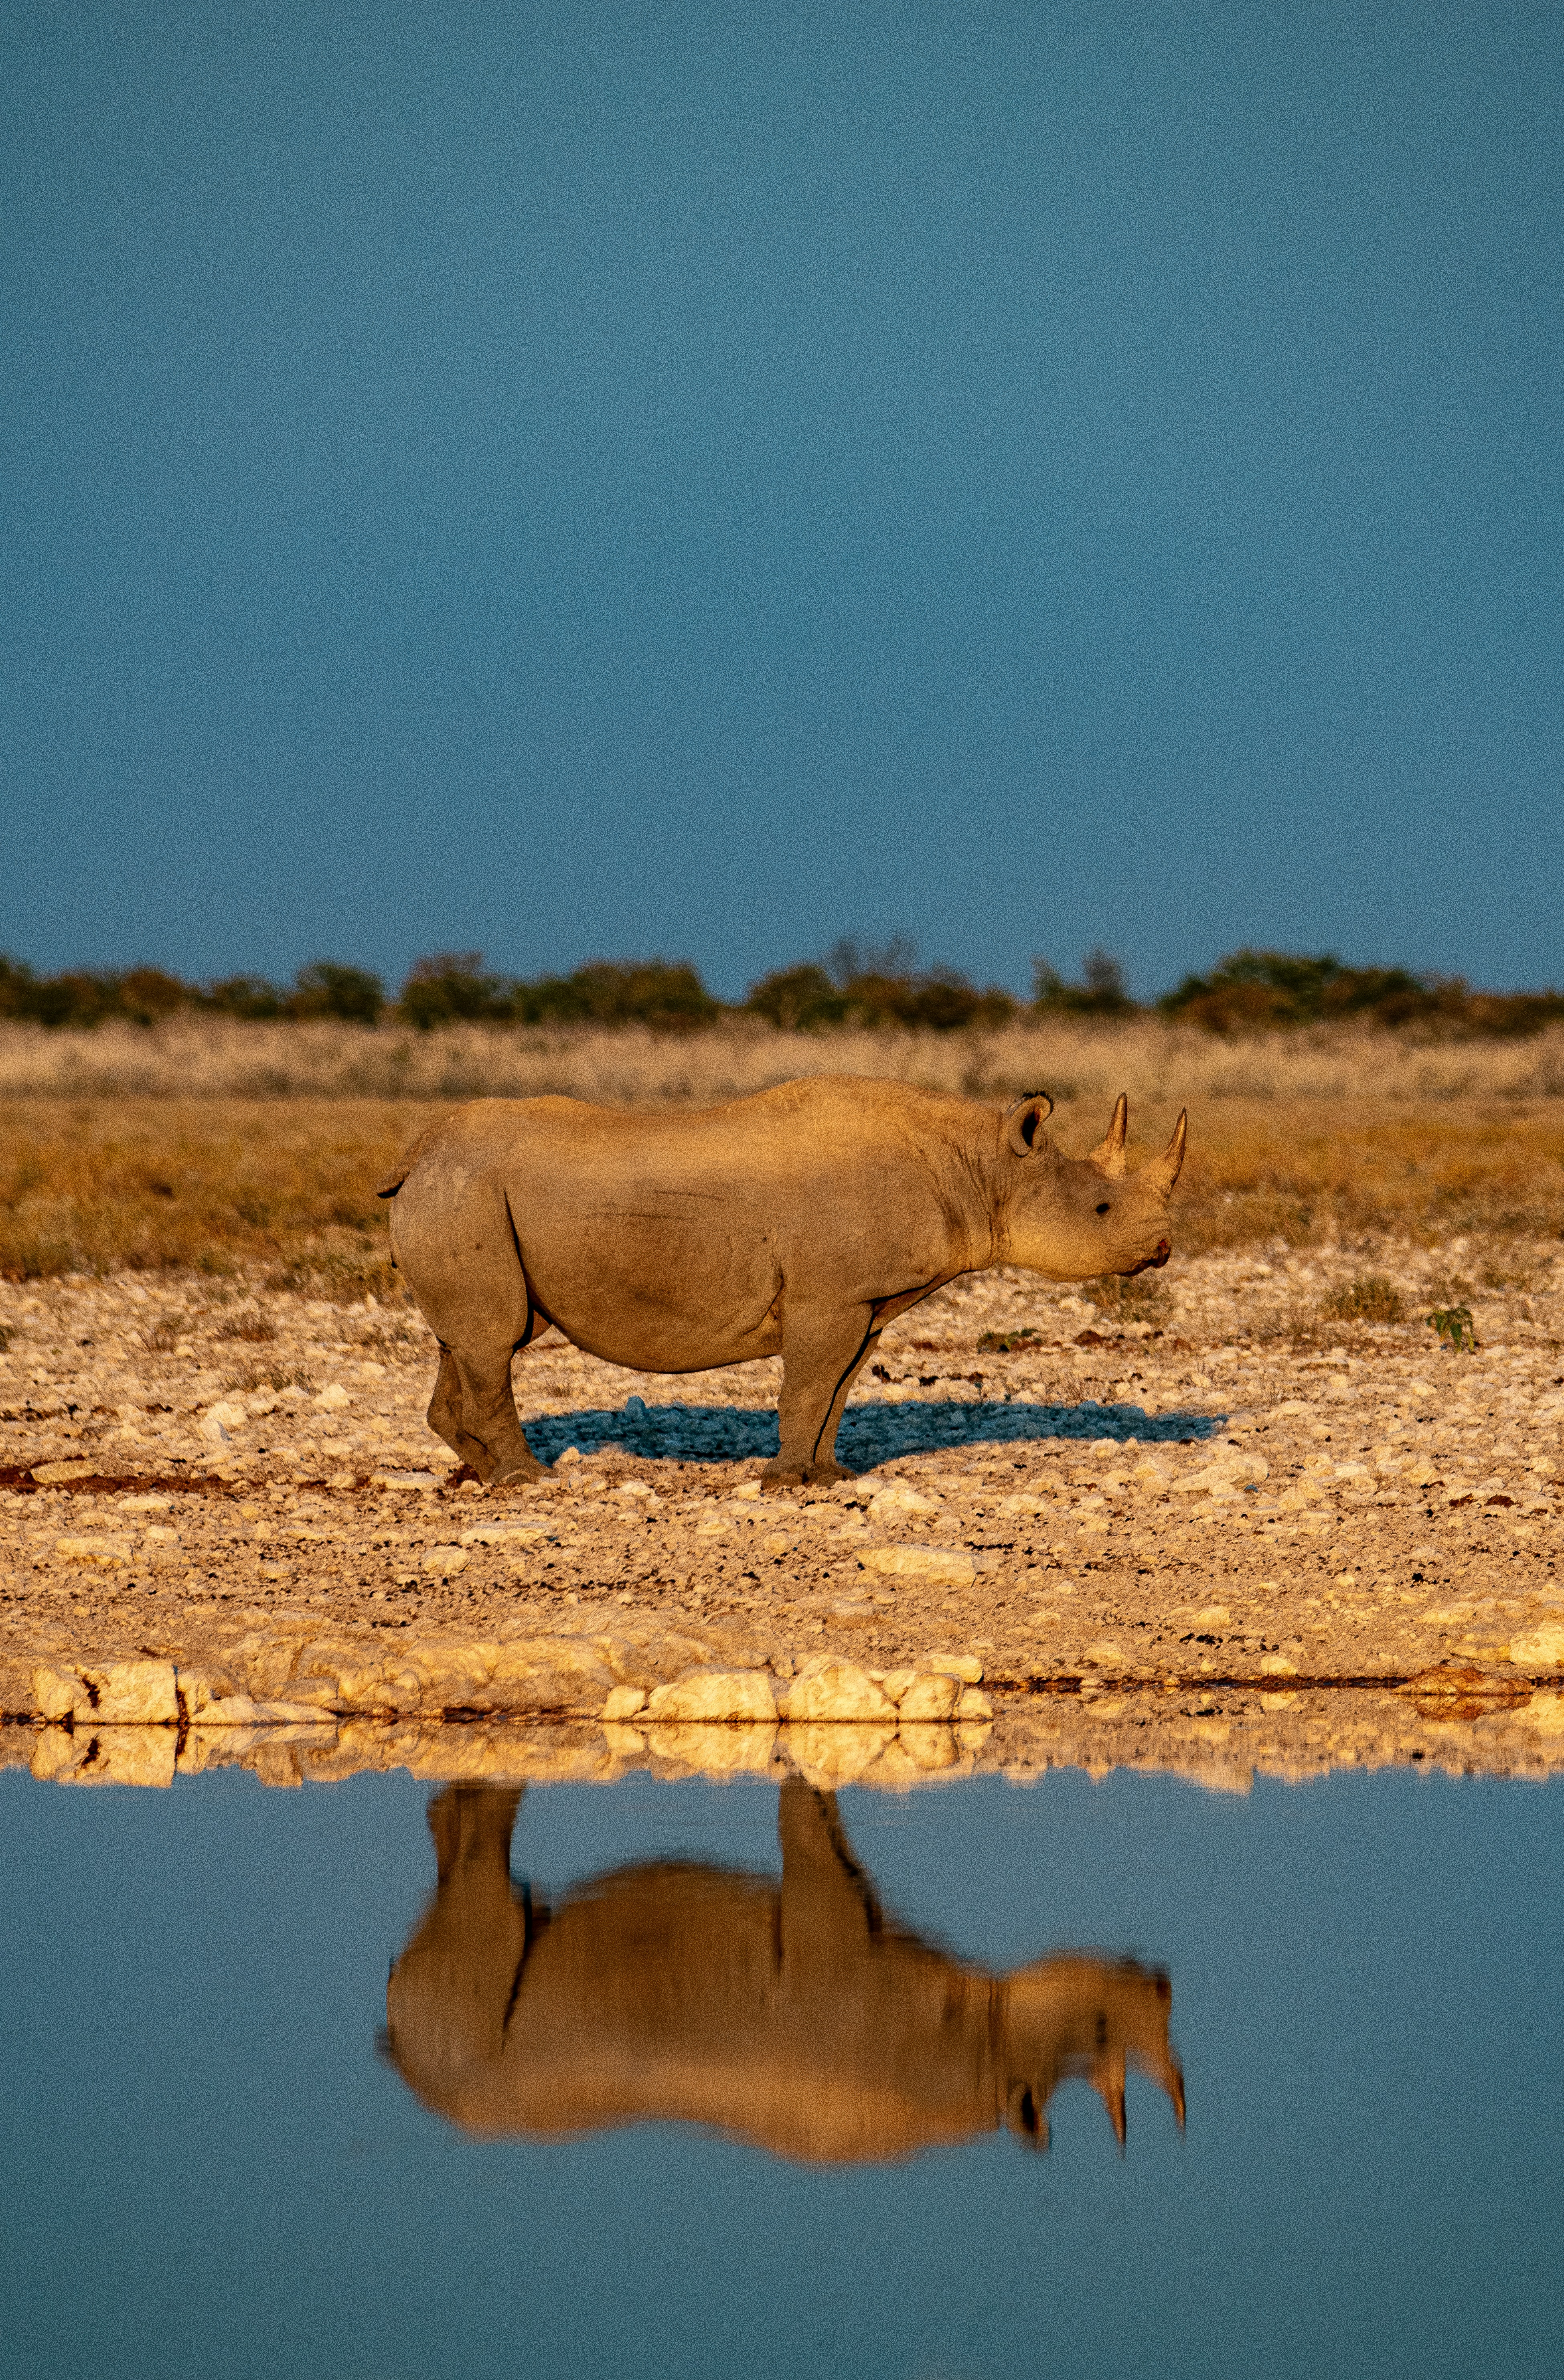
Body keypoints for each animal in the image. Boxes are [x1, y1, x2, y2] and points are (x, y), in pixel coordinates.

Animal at [377, 1073, 1186, 1490]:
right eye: (1102, 1209)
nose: (1163, 1248)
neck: (983, 1167)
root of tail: (418, 1152)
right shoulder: (828, 1297)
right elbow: (806, 1386)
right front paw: (782, 1483)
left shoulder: (867, 1299)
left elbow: (838, 1390)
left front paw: (828, 1478)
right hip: (465, 1192)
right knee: (494, 1340)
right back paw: (530, 1482)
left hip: (462, 1195)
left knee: (470, 1340)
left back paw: (483, 1476)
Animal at [383, 1780, 1185, 2163]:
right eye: (1101, 2025)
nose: (1161, 1978)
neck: (983, 2043)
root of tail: (405, 2060)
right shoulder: (828, 1942)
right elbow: (808, 1828)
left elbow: (832, 1830)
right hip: (466, 2035)